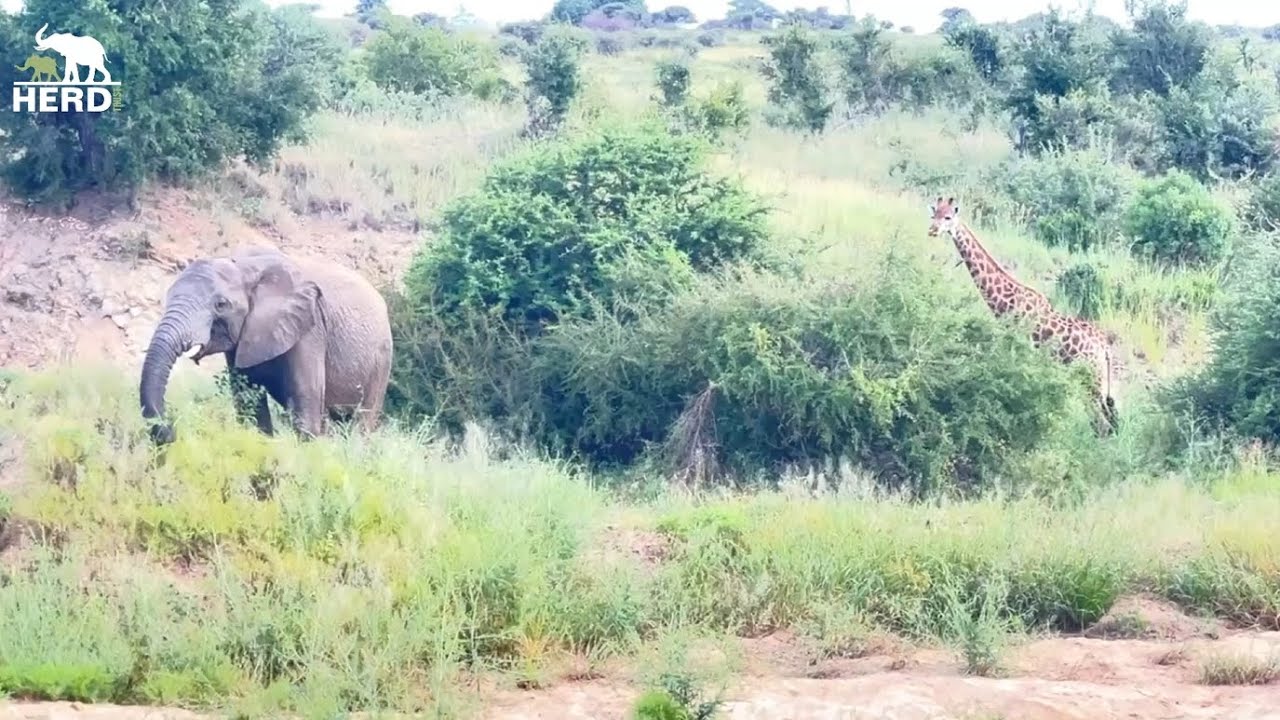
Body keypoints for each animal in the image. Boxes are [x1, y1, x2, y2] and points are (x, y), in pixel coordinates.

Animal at [139, 246, 393, 445]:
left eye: (221, 304)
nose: (169, 431)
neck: (245, 266)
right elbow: (249, 405)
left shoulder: (310, 329)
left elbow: (304, 404)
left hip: (381, 361)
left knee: (361, 420)